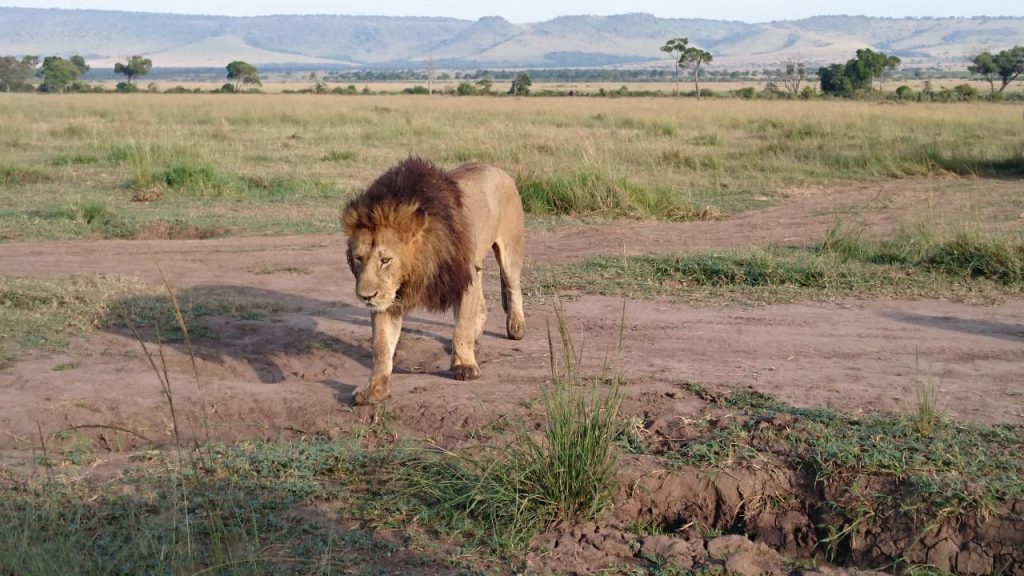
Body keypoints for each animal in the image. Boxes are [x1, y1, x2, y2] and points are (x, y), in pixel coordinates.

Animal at [342, 156, 524, 403]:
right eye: (358, 258)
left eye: (385, 260)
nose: (365, 296)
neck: (414, 271)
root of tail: (496, 168)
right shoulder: (387, 298)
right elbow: (381, 346)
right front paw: (374, 389)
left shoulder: (463, 278)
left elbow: (461, 328)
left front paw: (465, 367)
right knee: (482, 305)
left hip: (509, 250)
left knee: (514, 288)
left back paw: (516, 327)